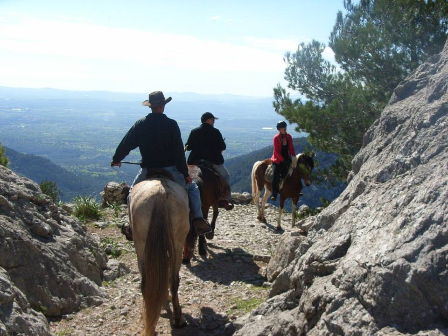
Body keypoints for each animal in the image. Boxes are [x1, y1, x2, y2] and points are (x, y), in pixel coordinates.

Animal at [129, 171, 190, 336]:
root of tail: (161, 195)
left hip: (141, 244)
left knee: (148, 281)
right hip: (176, 243)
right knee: (172, 280)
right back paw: (177, 319)